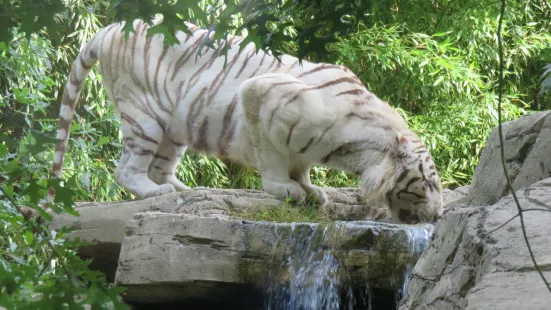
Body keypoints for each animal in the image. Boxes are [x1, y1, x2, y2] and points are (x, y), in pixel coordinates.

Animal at [51, 18, 446, 224]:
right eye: (427, 183)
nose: (438, 216)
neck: (357, 152)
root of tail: (111, 26)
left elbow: (301, 165)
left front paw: (311, 189)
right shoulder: (260, 94)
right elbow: (272, 155)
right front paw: (285, 189)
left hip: (175, 127)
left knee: (161, 165)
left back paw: (185, 190)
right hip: (147, 113)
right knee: (128, 169)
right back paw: (154, 192)